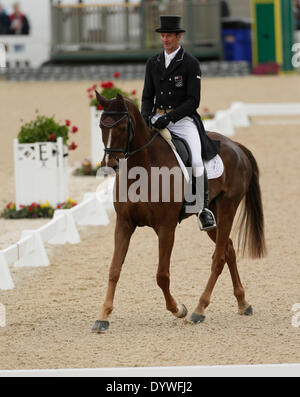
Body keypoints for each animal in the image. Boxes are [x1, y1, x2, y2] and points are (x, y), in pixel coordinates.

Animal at [92, 92, 268, 332]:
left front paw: (178, 309)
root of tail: (236, 146)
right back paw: (243, 303)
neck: (143, 166)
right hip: (212, 215)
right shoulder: (124, 224)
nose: (109, 163)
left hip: (228, 207)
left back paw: (198, 310)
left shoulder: (166, 227)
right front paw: (103, 317)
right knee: (229, 249)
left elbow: (162, 275)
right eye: (101, 125)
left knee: (219, 257)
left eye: (121, 127)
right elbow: (114, 270)